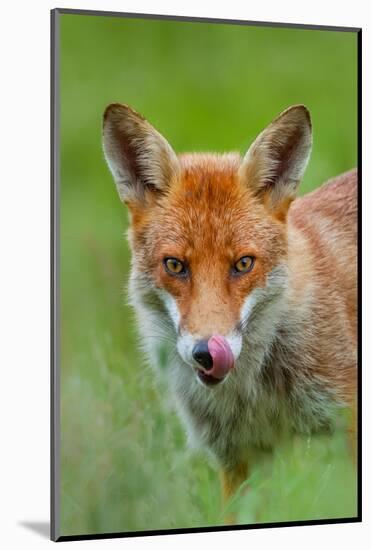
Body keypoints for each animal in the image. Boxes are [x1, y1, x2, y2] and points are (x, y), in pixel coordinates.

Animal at [101, 104, 358, 512]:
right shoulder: (237, 457)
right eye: (175, 265)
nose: (207, 353)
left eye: (243, 264)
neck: (255, 393)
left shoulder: (347, 429)